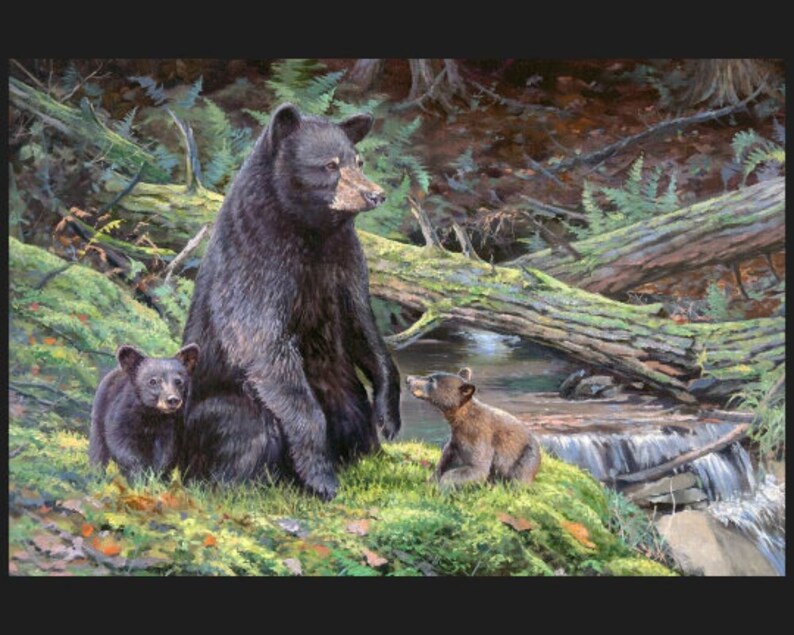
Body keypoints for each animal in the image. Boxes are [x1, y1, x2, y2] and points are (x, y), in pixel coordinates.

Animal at [89, 343, 199, 481]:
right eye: (153, 381)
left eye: (178, 381)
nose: (172, 400)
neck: (152, 415)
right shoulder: (121, 416)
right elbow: (121, 444)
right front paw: (139, 475)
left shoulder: (172, 427)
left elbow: (166, 452)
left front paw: (156, 478)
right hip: (99, 413)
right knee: (98, 447)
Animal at [178, 102, 402, 500]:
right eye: (329, 165)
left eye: (358, 160)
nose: (375, 194)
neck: (310, 230)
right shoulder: (258, 260)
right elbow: (262, 342)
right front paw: (320, 476)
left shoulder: (343, 259)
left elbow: (361, 323)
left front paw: (388, 416)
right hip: (216, 407)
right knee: (246, 425)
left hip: (340, 384)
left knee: (350, 408)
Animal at [405, 368, 541, 489]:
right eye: (430, 376)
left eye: (431, 380)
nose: (408, 379)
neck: (461, 420)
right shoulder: (456, 441)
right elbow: (444, 462)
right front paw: (429, 483)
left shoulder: (479, 436)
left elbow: (477, 467)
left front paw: (442, 487)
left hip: (526, 456)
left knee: (519, 476)